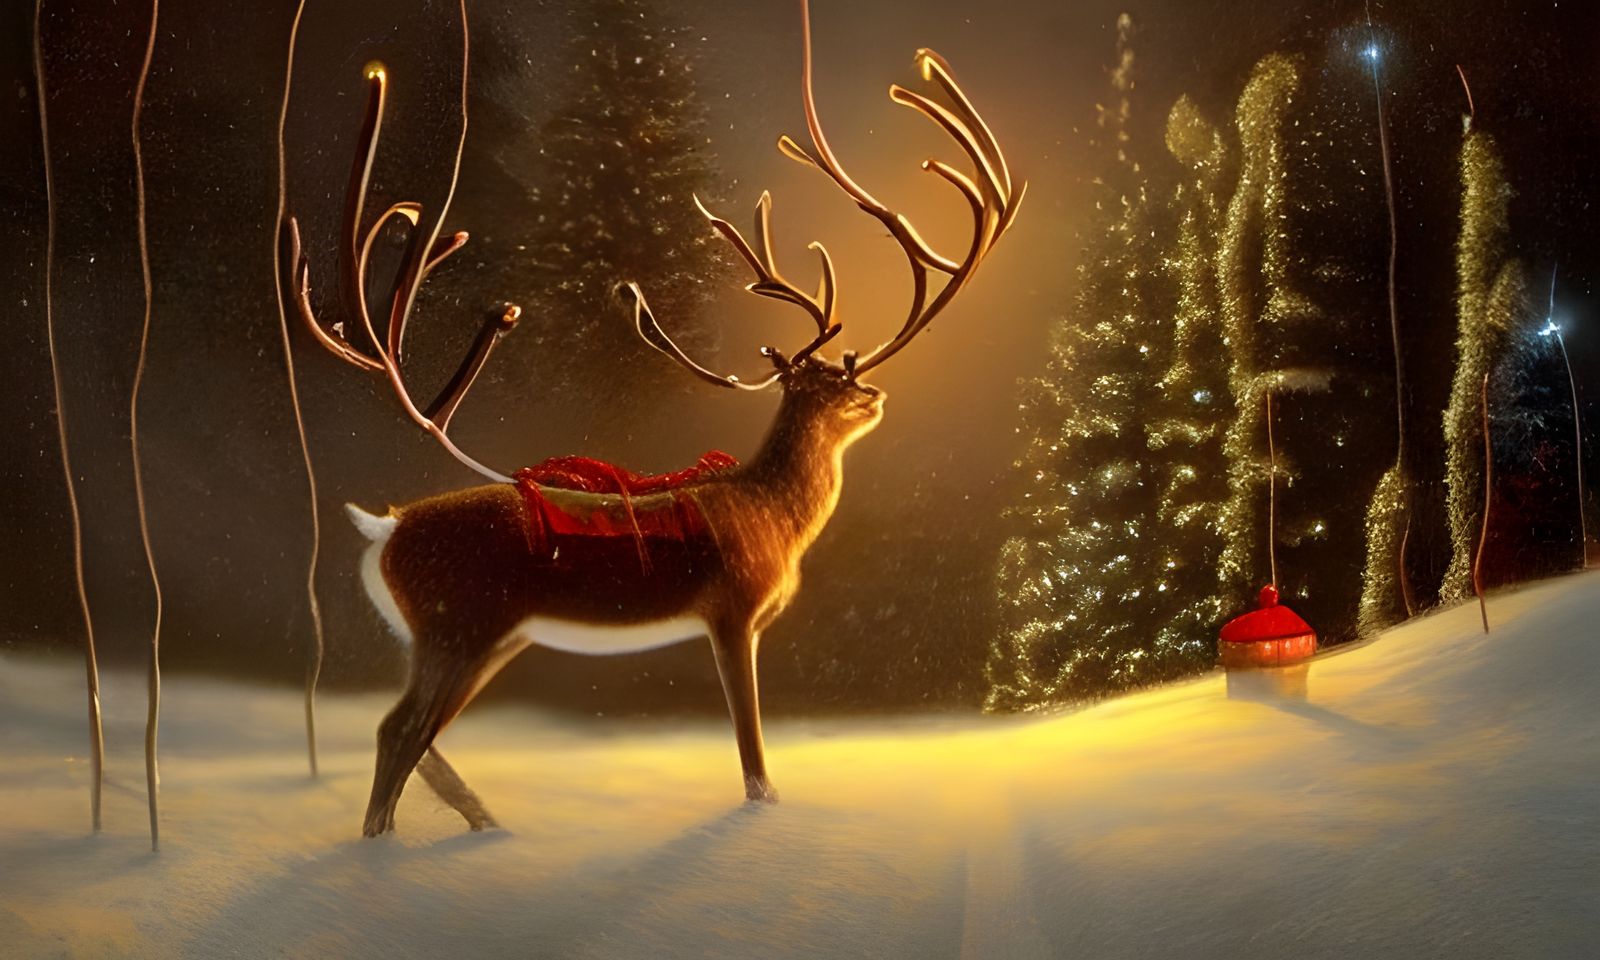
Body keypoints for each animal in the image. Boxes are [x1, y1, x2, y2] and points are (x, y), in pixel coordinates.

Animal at [280, 0, 1022, 837]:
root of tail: (384, 529)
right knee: (399, 729)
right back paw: (389, 846)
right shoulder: (731, 610)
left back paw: (482, 827)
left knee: (421, 738)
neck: (774, 515)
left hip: (489, 633)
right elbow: (752, 752)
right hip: (457, 622)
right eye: (834, 380)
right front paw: (764, 816)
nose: (878, 396)